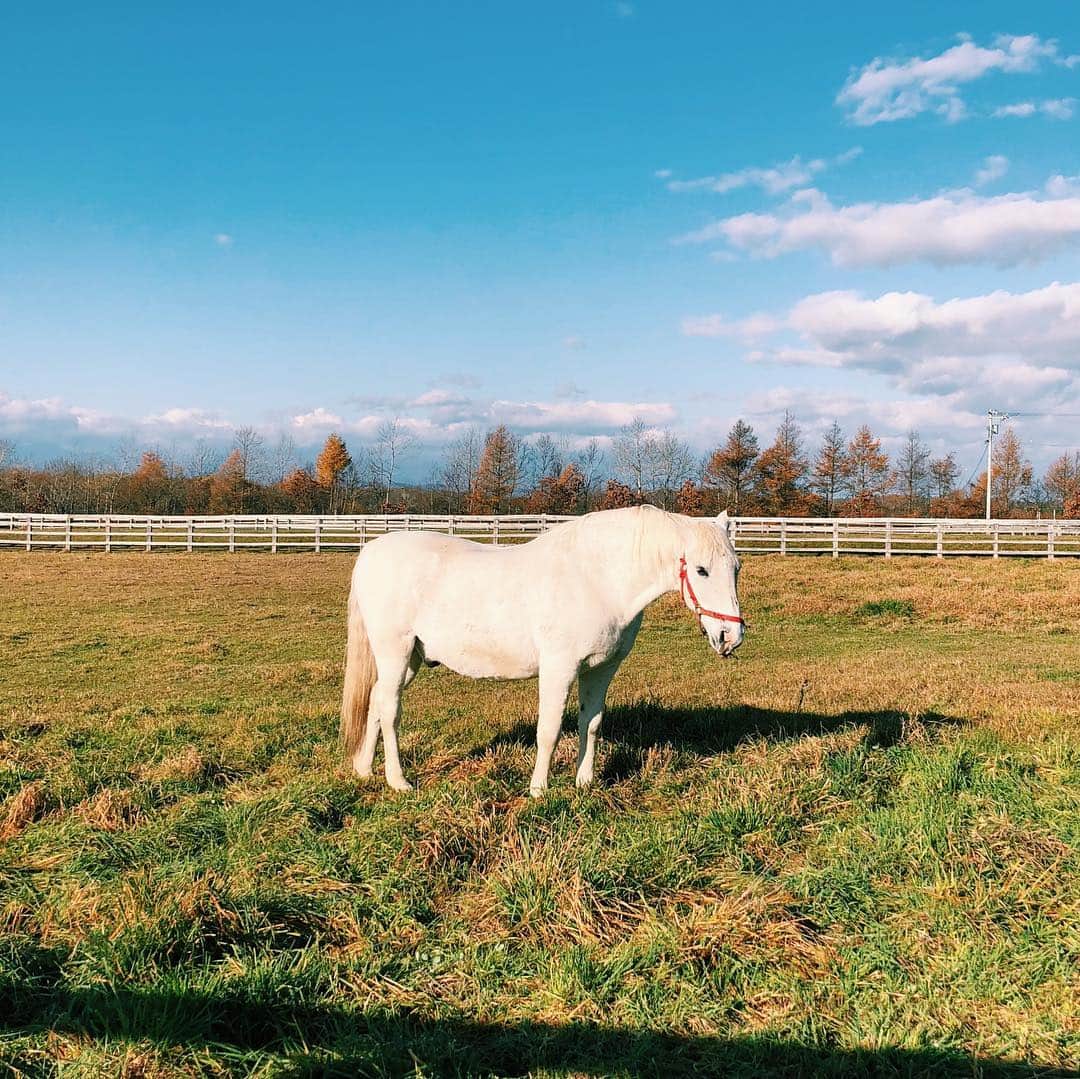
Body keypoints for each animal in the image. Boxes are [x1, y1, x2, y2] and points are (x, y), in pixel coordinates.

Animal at [340, 505, 744, 796]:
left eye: (736, 568)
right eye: (701, 570)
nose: (730, 635)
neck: (596, 580)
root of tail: (370, 551)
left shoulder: (600, 670)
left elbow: (590, 724)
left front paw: (584, 783)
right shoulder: (559, 668)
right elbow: (548, 730)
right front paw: (539, 789)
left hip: (410, 659)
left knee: (376, 702)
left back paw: (364, 770)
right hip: (394, 652)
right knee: (390, 711)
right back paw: (399, 781)